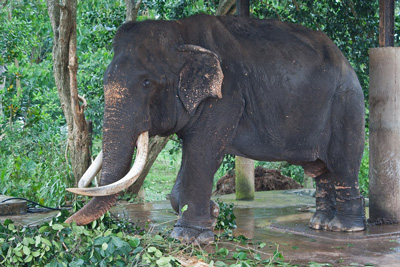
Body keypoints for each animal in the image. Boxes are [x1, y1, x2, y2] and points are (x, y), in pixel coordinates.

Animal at [65, 14, 366, 245]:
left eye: (147, 83)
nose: (65, 221)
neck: (180, 33)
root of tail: (346, 61)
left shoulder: (225, 97)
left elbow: (202, 153)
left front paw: (189, 237)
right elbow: (192, 154)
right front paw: (214, 213)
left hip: (346, 105)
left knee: (342, 164)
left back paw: (345, 228)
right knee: (320, 170)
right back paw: (320, 224)